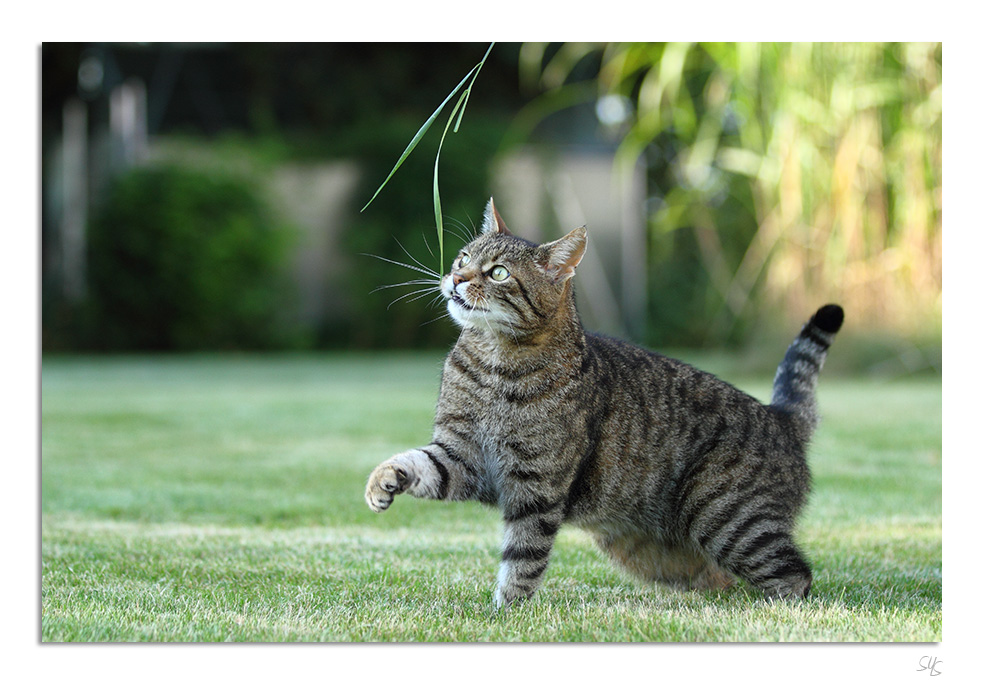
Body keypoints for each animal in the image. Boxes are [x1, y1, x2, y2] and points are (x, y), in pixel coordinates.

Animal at [366, 199, 840, 608]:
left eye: (498, 273)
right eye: (463, 258)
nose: (456, 279)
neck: (495, 365)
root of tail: (781, 417)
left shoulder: (537, 486)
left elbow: (523, 558)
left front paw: (506, 612)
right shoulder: (462, 455)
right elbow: (417, 462)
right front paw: (382, 481)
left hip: (729, 520)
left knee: (795, 577)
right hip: (659, 550)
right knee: (722, 578)